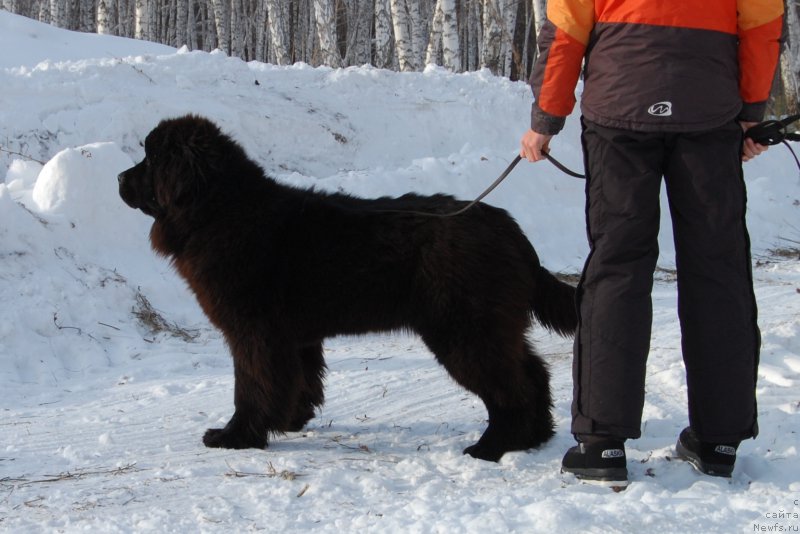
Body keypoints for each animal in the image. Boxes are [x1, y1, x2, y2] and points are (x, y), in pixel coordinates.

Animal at [117, 116, 576, 464]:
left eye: (149, 159)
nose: (119, 177)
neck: (220, 210)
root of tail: (510, 229)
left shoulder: (252, 333)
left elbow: (251, 385)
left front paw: (237, 435)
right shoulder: (293, 337)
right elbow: (298, 381)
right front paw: (289, 421)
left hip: (466, 331)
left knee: (512, 388)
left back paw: (492, 447)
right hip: (492, 327)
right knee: (534, 372)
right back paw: (536, 436)